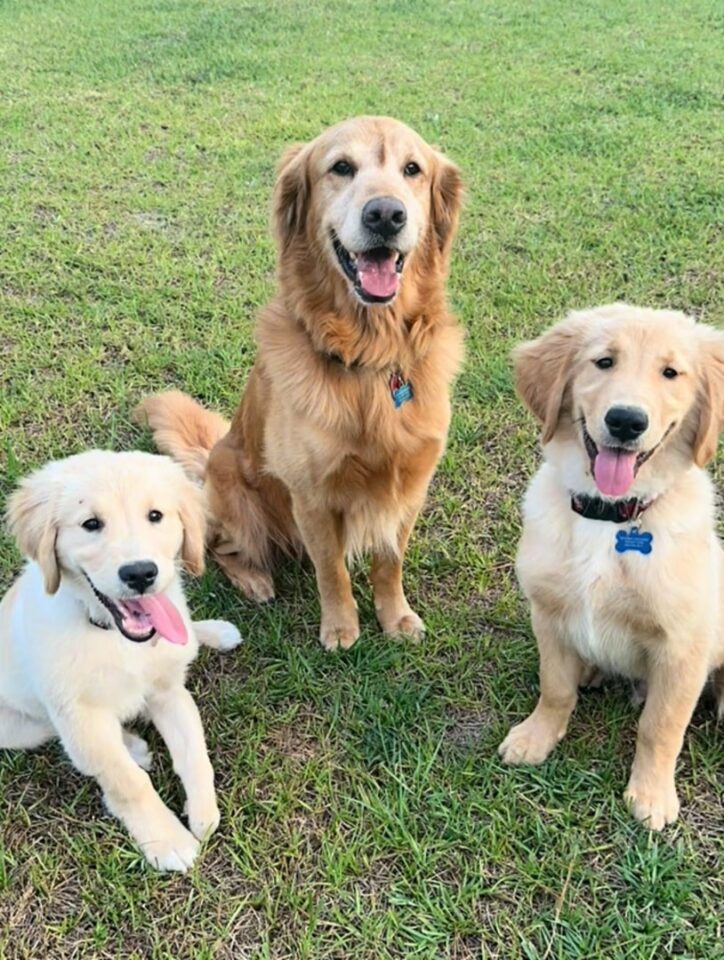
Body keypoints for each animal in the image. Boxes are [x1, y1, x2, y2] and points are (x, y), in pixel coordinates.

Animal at [0, 450, 243, 872]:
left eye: (155, 516)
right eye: (91, 524)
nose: (141, 573)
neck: (114, 636)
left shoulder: (168, 691)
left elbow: (195, 754)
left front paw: (203, 813)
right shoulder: (80, 716)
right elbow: (127, 781)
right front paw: (167, 839)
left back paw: (214, 631)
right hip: (19, 727)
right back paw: (134, 747)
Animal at [136, 114, 464, 652]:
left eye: (412, 169)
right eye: (341, 167)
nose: (386, 215)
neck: (369, 357)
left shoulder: (408, 485)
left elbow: (389, 560)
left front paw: (395, 616)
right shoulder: (312, 495)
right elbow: (331, 569)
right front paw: (341, 627)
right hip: (239, 500)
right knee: (217, 549)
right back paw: (254, 580)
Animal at [498, 304, 724, 828]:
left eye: (670, 373)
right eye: (604, 362)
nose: (625, 421)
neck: (608, 513)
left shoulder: (683, 647)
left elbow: (660, 725)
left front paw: (652, 795)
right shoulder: (549, 614)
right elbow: (555, 688)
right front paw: (536, 737)